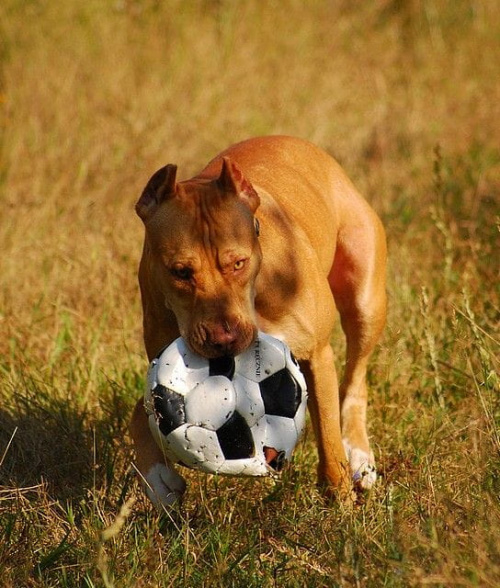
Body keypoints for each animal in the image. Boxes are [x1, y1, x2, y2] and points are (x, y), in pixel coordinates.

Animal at [129, 136, 386, 508]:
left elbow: (327, 432)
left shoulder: (317, 355)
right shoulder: (160, 363)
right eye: (180, 272)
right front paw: (158, 478)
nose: (223, 339)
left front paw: (340, 499)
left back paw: (359, 455)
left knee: (355, 380)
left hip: (365, 298)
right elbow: (142, 409)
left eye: (239, 263)